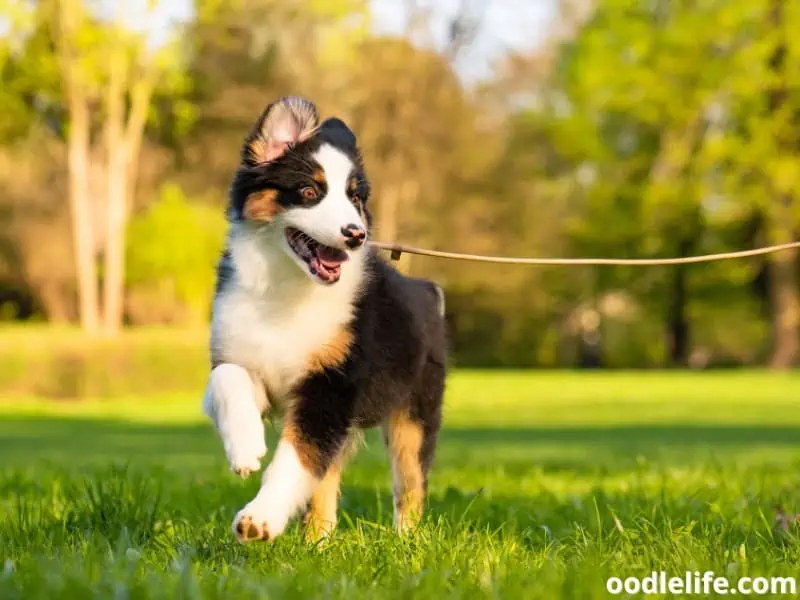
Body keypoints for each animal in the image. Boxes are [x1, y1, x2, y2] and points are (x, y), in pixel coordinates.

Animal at [203, 96, 446, 540]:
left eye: (355, 198)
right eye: (309, 191)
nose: (356, 234)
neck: (287, 286)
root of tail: (426, 289)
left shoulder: (331, 387)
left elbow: (296, 458)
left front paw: (259, 519)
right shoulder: (242, 355)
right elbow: (226, 376)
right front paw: (246, 447)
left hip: (415, 415)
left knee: (411, 484)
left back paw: (405, 541)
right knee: (327, 482)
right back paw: (318, 539)